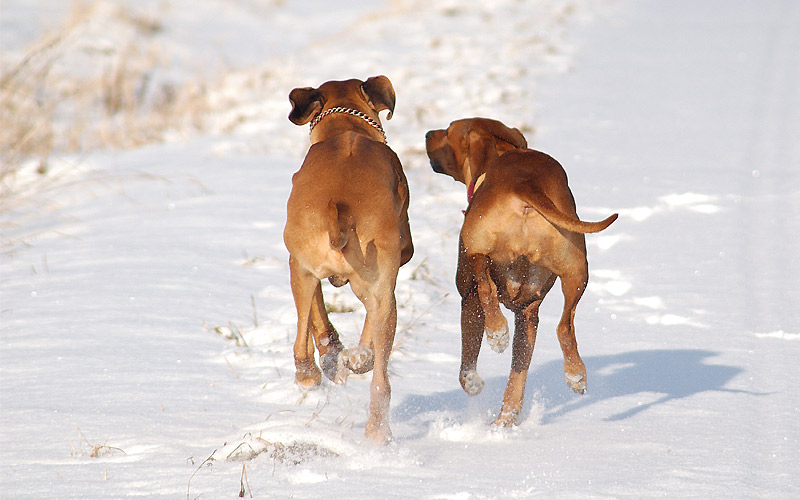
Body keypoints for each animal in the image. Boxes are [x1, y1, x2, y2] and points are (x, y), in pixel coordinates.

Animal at [286, 76, 412, 444]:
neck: (345, 129)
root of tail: (340, 207)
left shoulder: (300, 264)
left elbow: (318, 317)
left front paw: (336, 355)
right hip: (382, 289)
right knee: (380, 376)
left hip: (302, 270)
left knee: (303, 341)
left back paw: (313, 372)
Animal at [424, 116, 620, 426]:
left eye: (448, 131)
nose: (428, 133)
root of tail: (527, 184)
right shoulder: (527, 315)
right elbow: (519, 372)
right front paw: (507, 417)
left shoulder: (468, 298)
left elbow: (468, 355)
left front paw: (473, 382)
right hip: (576, 272)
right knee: (565, 326)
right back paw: (574, 374)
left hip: (475, 247)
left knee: (486, 288)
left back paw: (497, 332)